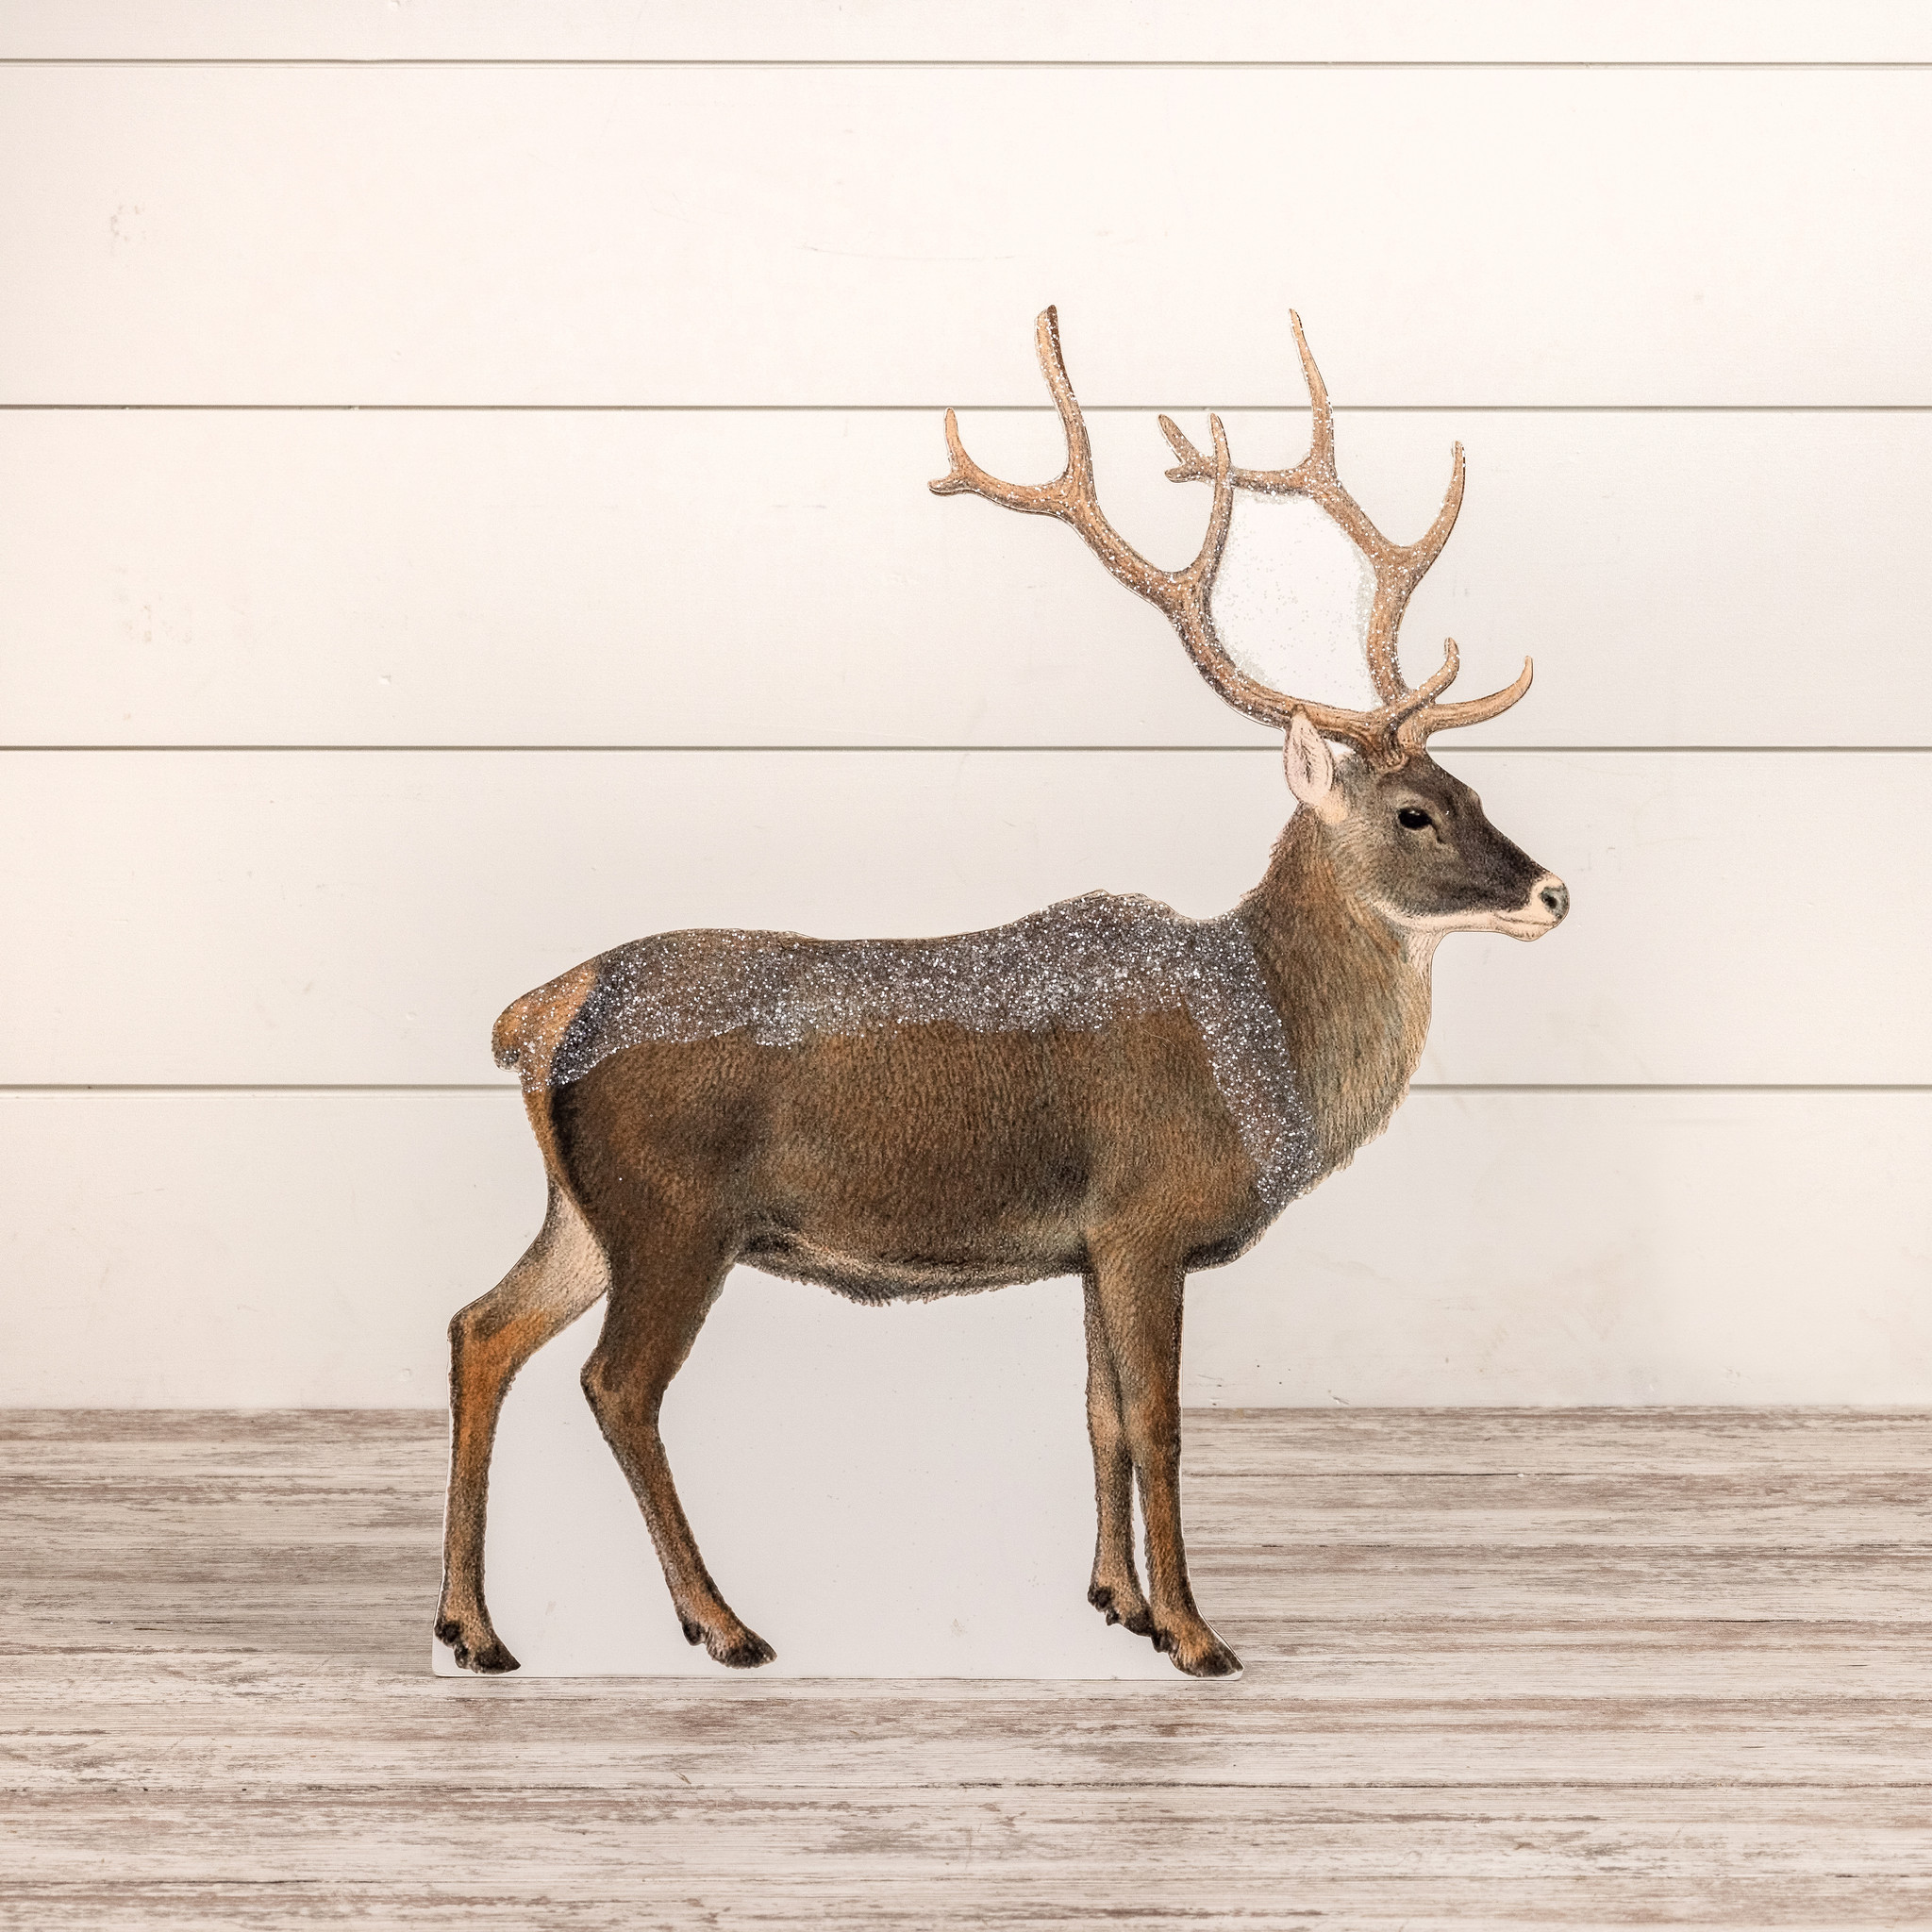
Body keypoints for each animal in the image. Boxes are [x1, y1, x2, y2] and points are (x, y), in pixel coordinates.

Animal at [436, 308, 1568, 1680]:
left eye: (1472, 790)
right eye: (1414, 812)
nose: (1555, 890)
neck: (1259, 1052)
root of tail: (542, 1010)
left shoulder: (1087, 1240)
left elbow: (1096, 1415)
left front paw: (1118, 1601)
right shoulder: (1145, 1211)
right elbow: (1162, 1421)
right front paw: (1196, 1634)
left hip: (585, 1208)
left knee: (480, 1329)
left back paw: (474, 1628)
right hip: (672, 1209)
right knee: (615, 1384)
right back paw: (720, 1621)